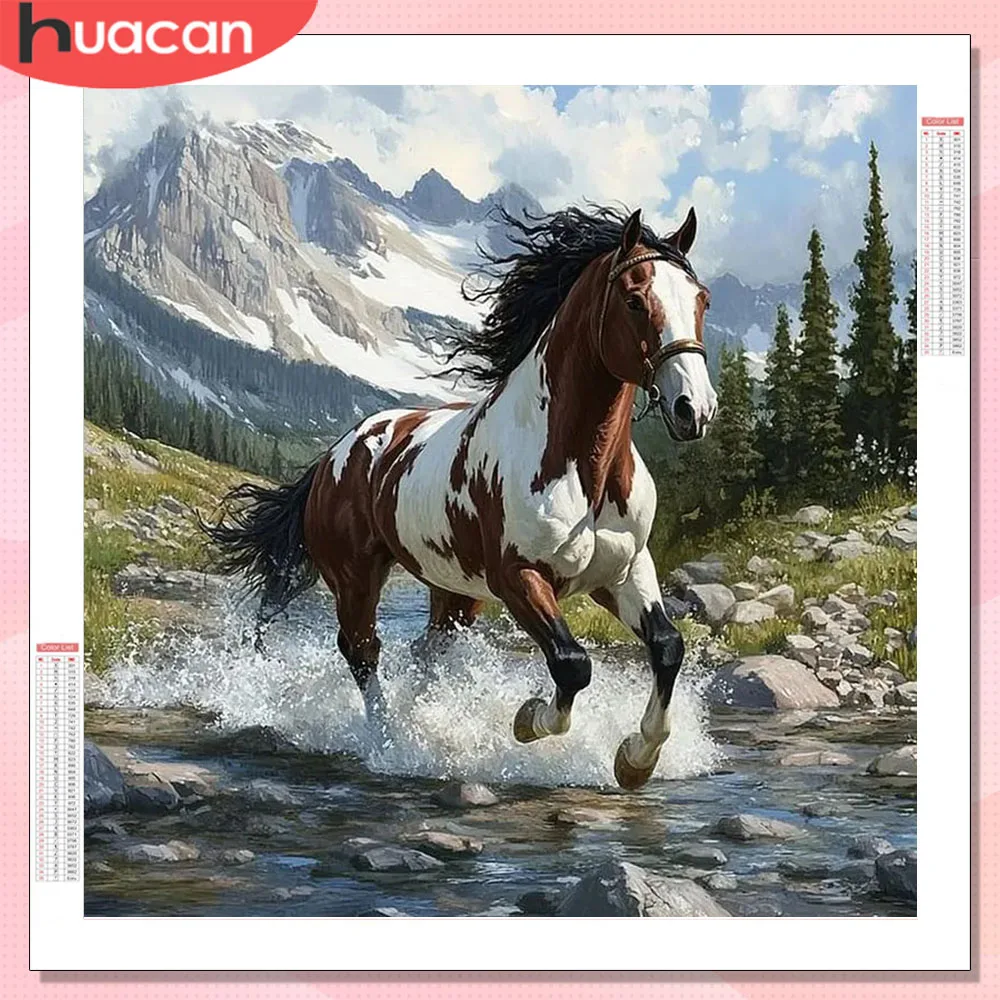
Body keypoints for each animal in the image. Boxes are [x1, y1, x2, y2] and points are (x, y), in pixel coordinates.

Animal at [203, 204, 718, 789]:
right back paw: (389, 743)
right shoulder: (518, 577)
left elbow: (667, 647)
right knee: (363, 651)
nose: (694, 408)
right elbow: (571, 663)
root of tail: (334, 456)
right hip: (356, 578)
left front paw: (635, 759)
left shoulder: (623, 571)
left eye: (701, 299)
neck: (582, 470)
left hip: (454, 592)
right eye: (634, 300)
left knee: (425, 650)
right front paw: (528, 721)